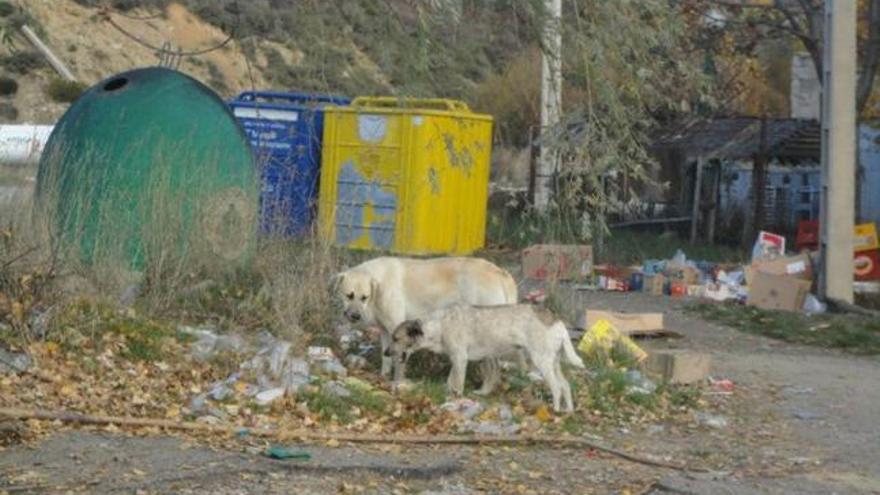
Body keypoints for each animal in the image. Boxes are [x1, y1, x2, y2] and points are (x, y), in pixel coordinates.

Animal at [334, 258, 520, 382]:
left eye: (364, 297)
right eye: (349, 295)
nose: (355, 316)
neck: (379, 286)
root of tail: (500, 273)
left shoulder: (397, 330)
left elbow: (399, 361)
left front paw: (397, 382)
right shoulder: (385, 332)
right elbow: (386, 358)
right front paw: (383, 377)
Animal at [384, 304, 584, 412]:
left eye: (396, 338)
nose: (385, 353)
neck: (439, 326)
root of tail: (557, 321)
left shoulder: (460, 359)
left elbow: (457, 385)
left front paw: (456, 402)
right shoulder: (457, 360)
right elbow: (450, 381)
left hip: (541, 361)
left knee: (557, 388)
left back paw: (555, 411)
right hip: (553, 363)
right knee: (566, 386)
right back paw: (568, 411)